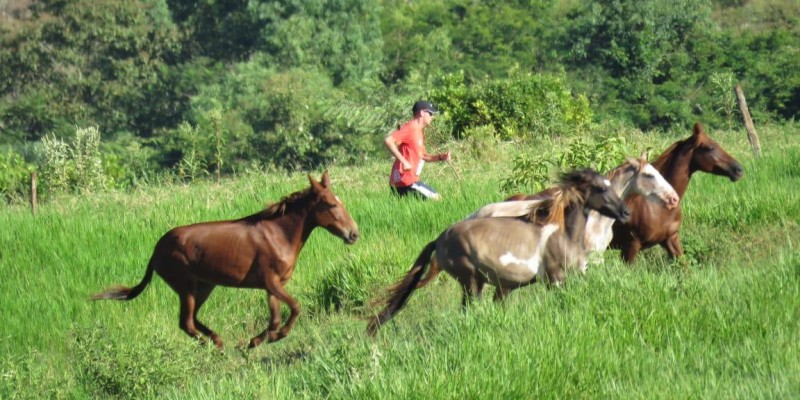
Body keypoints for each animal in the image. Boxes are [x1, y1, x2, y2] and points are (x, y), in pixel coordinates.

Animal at [90, 170, 360, 348]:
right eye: (330, 204)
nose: (353, 233)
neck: (278, 234)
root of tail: (156, 250)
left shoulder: (273, 286)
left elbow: (274, 320)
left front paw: (255, 342)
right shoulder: (271, 282)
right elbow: (295, 307)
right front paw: (262, 340)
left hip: (204, 286)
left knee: (192, 320)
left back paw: (219, 341)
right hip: (186, 286)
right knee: (186, 323)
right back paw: (216, 347)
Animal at [364, 169, 632, 334]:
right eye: (600, 188)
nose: (625, 212)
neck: (563, 233)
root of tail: (439, 240)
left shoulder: (578, 273)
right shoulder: (555, 278)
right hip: (471, 281)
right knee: (468, 309)